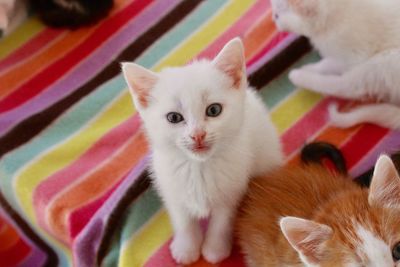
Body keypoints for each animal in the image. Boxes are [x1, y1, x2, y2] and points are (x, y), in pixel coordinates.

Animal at [120, 38, 282, 266]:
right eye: (174, 117)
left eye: (214, 110)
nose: (198, 135)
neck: (199, 167)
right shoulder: (172, 188)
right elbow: (183, 221)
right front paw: (186, 248)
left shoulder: (232, 189)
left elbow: (221, 221)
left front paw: (215, 249)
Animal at [270, 0, 400, 130]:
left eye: (277, 16)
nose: (274, 23)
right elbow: (327, 62)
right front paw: (310, 67)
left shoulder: (353, 57)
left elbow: (330, 64)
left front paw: (308, 69)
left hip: (384, 61)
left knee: (348, 87)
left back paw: (298, 76)